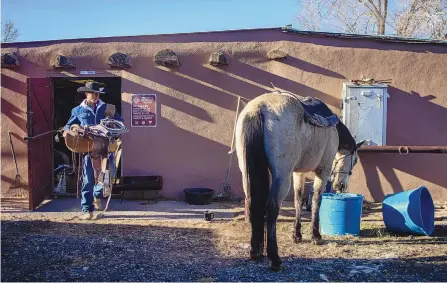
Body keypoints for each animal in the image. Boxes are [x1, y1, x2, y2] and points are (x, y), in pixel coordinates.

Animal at [234, 90, 364, 270]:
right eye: (356, 160)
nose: (341, 186)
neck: (333, 128)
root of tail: (258, 109)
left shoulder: (298, 173)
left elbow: (298, 200)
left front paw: (297, 234)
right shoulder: (323, 171)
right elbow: (316, 200)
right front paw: (316, 235)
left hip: (247, 172)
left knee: (254, 204)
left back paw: (256, 252)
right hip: (282, 175)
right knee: (272, 207)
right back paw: (274, 258)